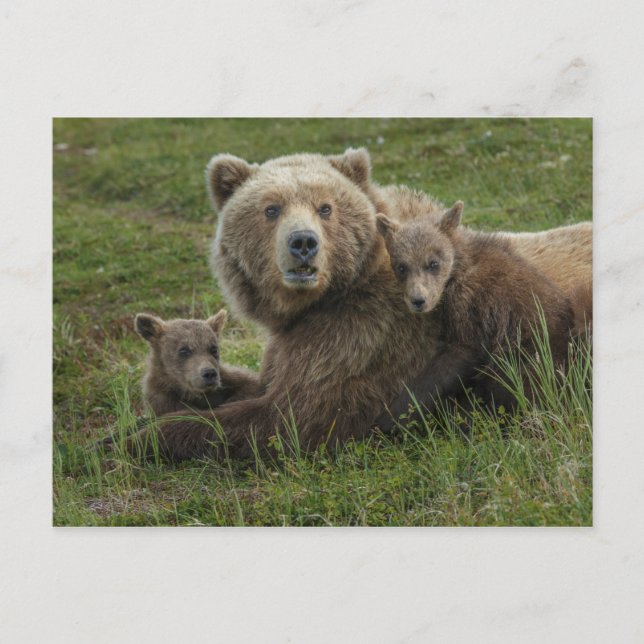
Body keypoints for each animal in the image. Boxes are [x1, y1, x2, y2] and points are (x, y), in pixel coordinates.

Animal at [373, 201, 579, 427]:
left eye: (433, 263)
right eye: (402, 267)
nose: (418, 300)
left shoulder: (476, 313)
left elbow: (452, 362)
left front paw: (387, 419)